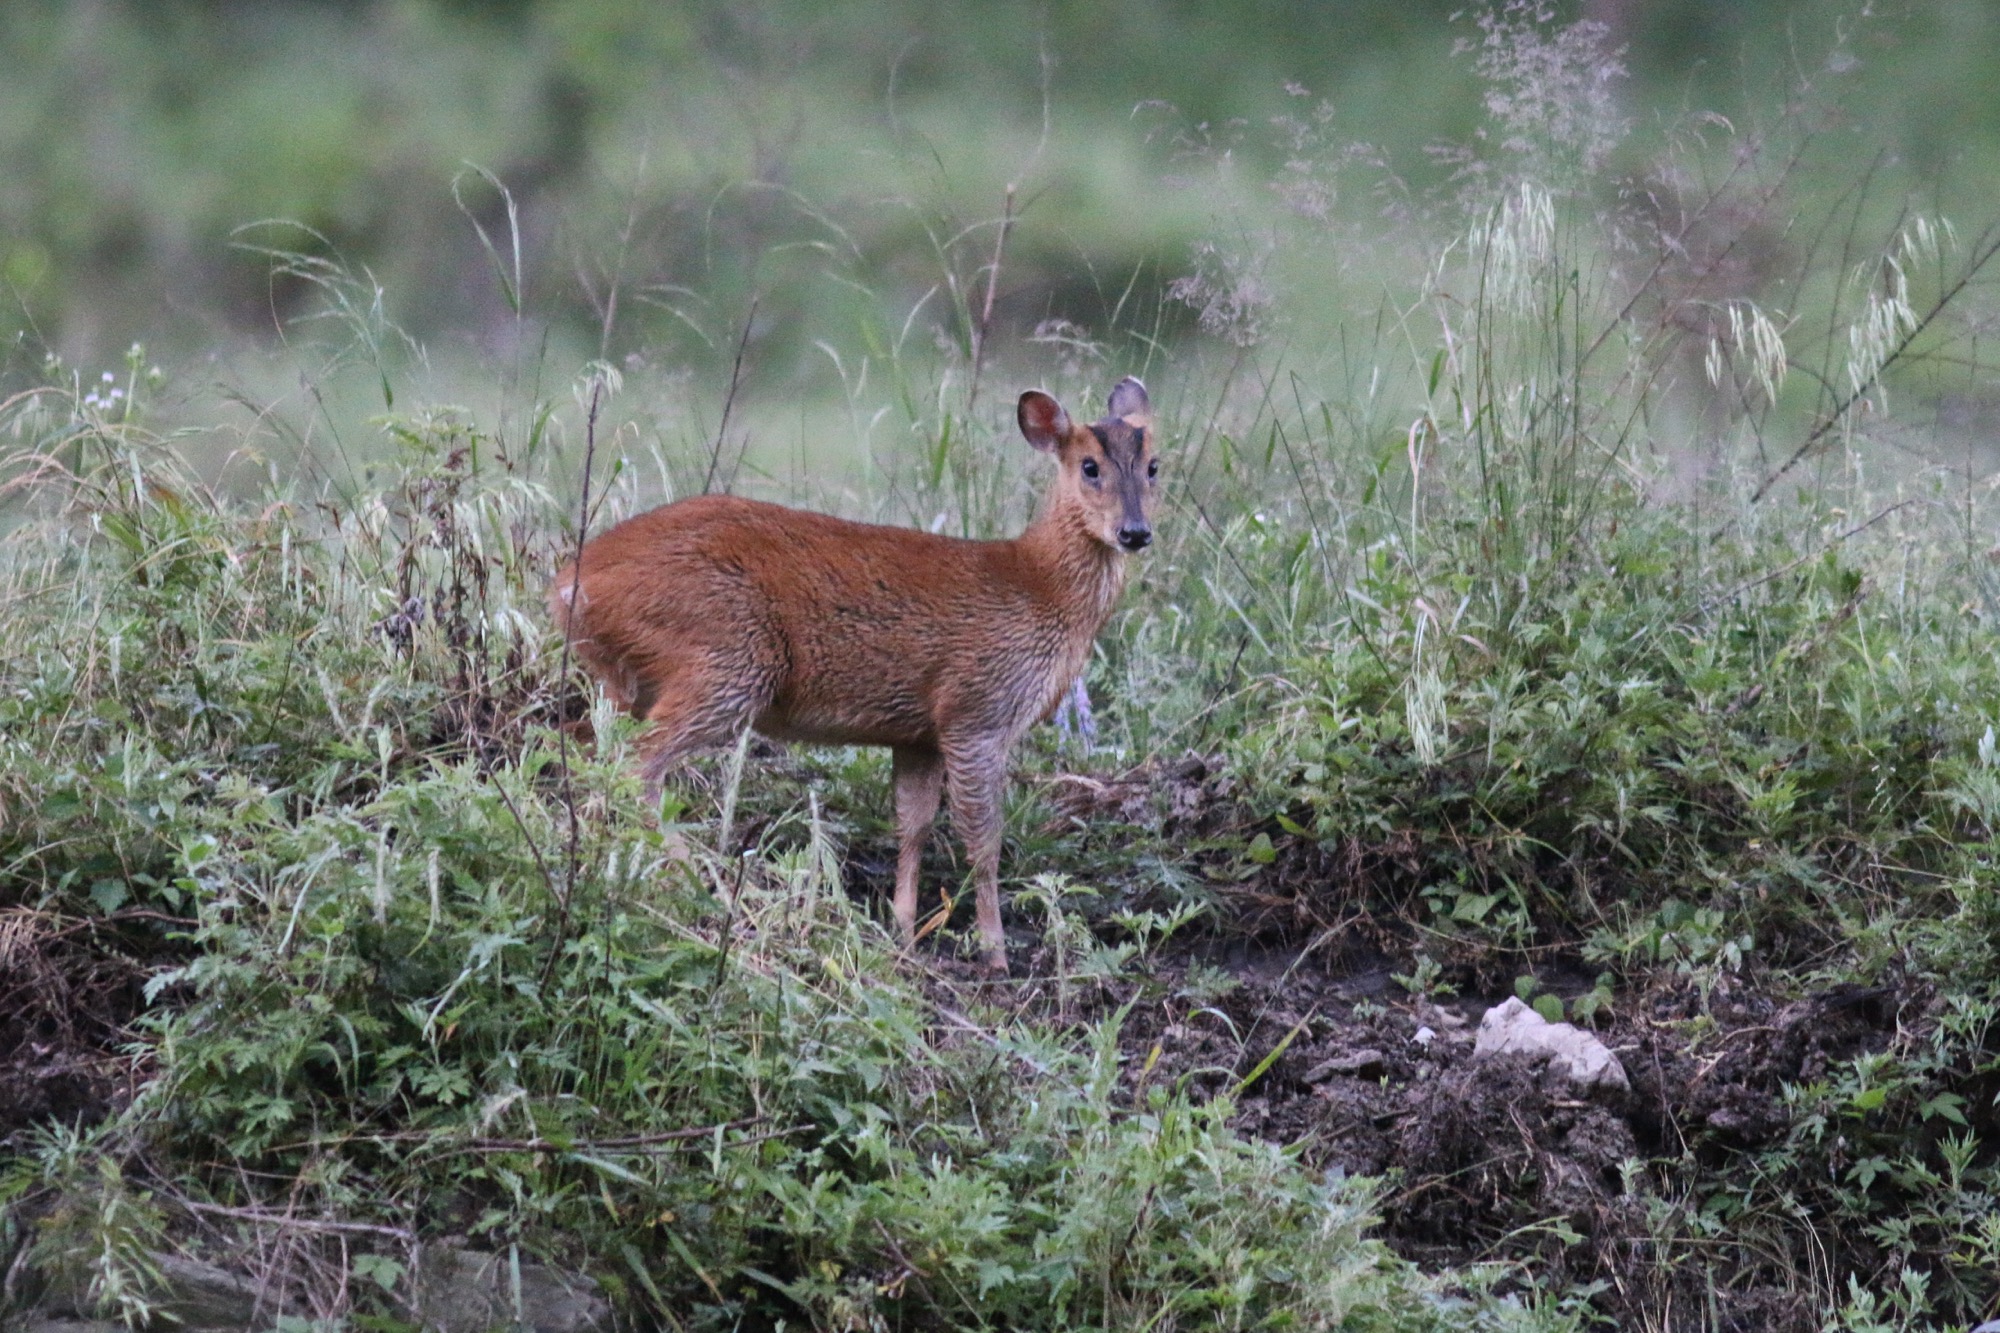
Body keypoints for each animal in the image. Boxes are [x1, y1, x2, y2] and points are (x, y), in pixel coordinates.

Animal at [556, 374, 1168, 964]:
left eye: (1155, 465)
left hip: (635, 678)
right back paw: (702, 881)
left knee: (589, 747)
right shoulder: (977, 710)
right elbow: (982, 841)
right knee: (637, 763)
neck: (1039, 587)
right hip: (726, 659)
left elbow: (913, 825)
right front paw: (995, 953)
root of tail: (569, 586)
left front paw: (903, 932)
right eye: (1089, 466)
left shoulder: (921, 733)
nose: (1135, 532)